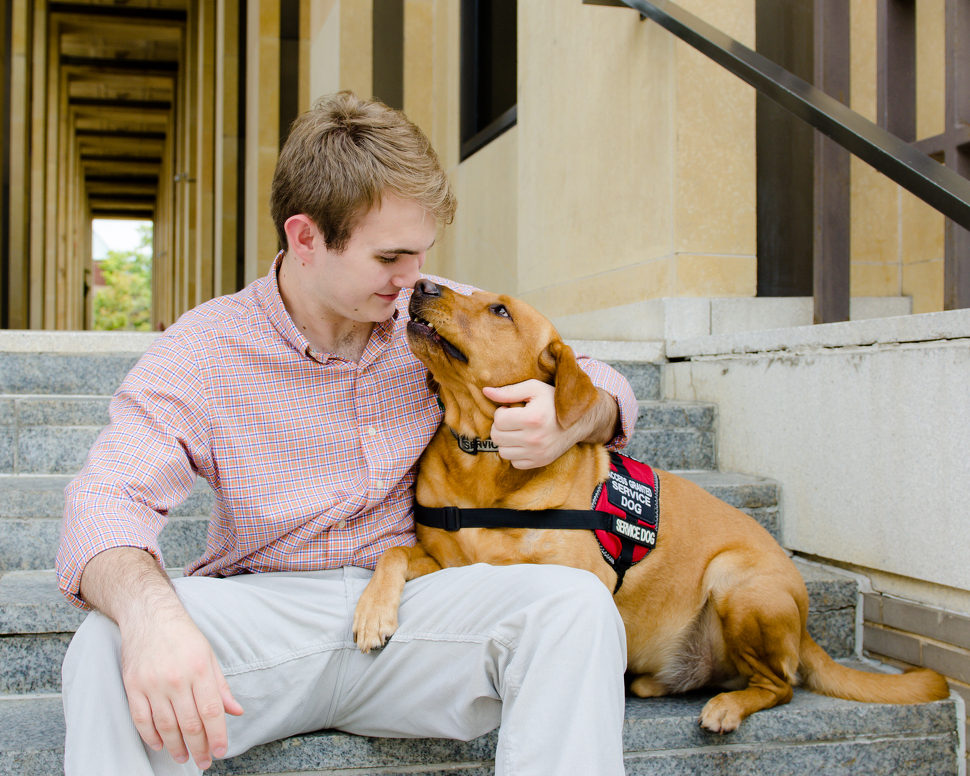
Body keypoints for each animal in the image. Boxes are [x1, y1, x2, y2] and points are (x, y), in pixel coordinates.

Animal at [350, 278, 944, 732]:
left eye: (500, 309)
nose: (421, 284)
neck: (481, 457)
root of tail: (806, 630)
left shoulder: (574, 579)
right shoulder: (443, 560)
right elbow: (393, 555)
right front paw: (373, 612)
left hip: (737, 581)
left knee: (781, 685)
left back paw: (728, 706)